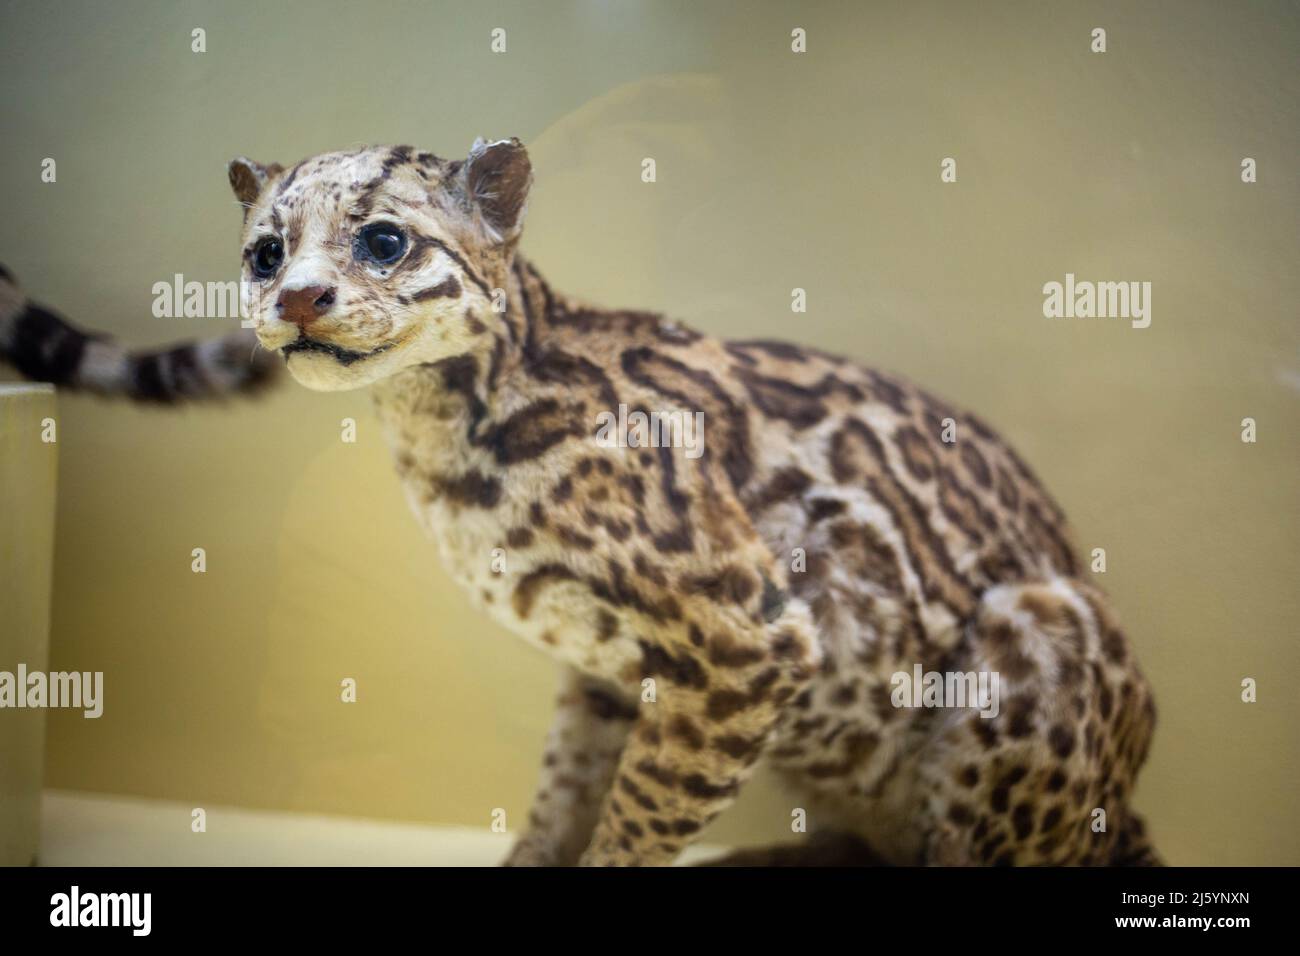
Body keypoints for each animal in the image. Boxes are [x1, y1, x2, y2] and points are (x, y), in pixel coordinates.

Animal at [2, 140, 1159, 868]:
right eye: (264, 251)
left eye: (383, 242)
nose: (294, 299)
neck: (445, 429)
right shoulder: (608, 672)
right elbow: (565, 792)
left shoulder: (747, 639)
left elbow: (639, 817)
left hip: (1037, 631)